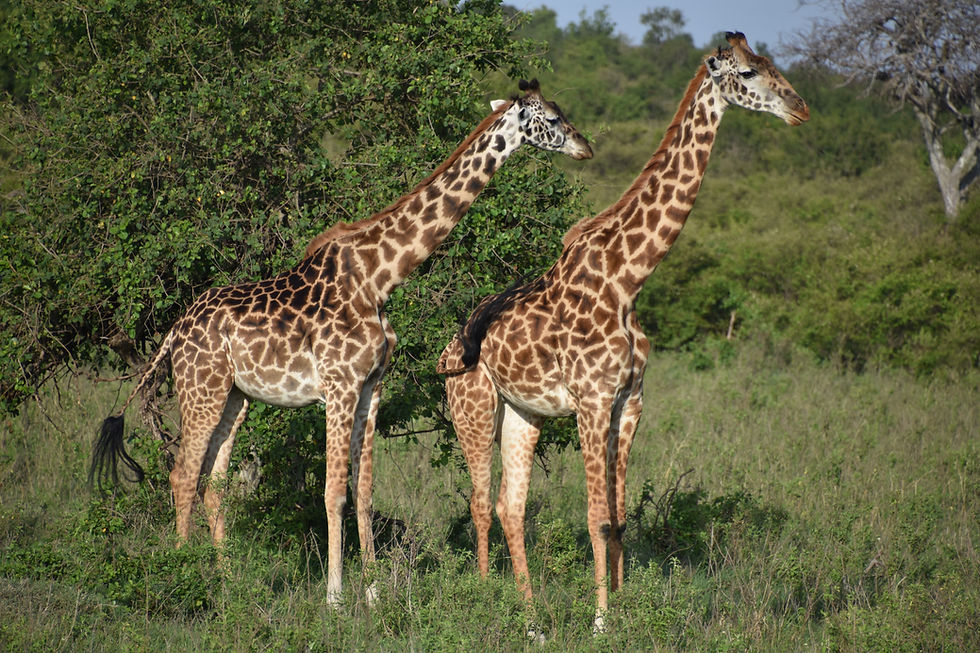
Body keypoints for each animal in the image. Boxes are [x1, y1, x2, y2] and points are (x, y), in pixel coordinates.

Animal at [90, 79, 592, 605]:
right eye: (552, 119)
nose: (585, 147)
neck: (380, 277)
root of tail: (176, 329)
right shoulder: (338, 384)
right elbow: (333, 491)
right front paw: (334, 594)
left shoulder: (372, 386)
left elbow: (364, 491)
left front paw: (371, 591)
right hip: (200, 387)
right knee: (183, 475)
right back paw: (185, 570)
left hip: (234, 397)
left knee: (215, 483)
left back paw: (225, 579)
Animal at [437, 32, 808, 631]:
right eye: (750, 73)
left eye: (772, 64)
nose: (800, 108)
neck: (628, 278)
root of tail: (447, 350)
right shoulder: (591, 400)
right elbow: (596, 516)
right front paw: (600, 620)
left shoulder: (629, 402)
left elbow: (620, 515)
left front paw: (624, 604)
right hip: (472, 409)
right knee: (478, 500)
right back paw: (485, 597)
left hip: (524, 413)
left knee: (509, 506)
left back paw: (532, 617)